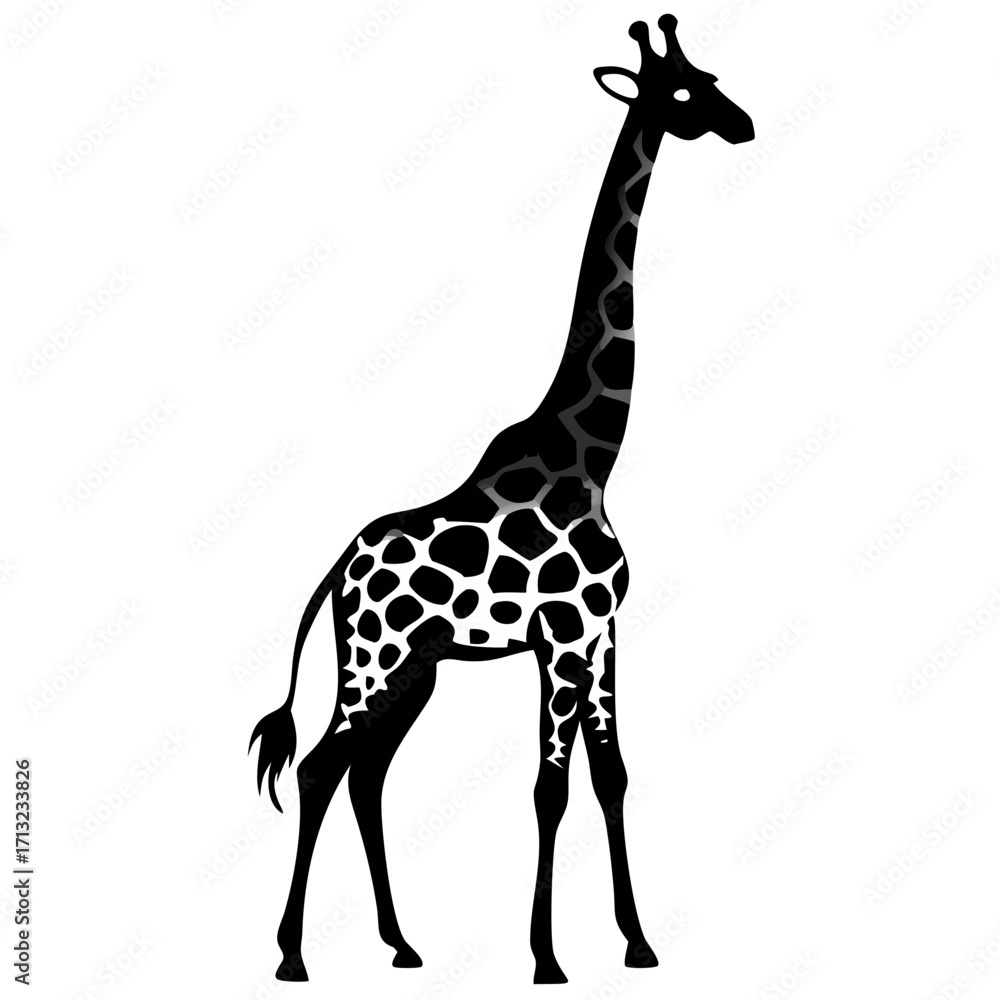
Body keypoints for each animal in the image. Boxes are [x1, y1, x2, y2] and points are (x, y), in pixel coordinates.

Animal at [250, 13, 753, 984]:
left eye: (711, 77)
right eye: (682, 91)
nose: (742, 124)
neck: (592, 453)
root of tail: (337, 572)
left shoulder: (601, 634)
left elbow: (611, 774)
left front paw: (638, 943)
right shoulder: (560, 635)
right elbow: (550, 786)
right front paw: (548, 959)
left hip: (416, 669)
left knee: (365, 773)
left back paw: (402, 944)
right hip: (376, 660)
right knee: (322, 766)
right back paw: (292, 956)